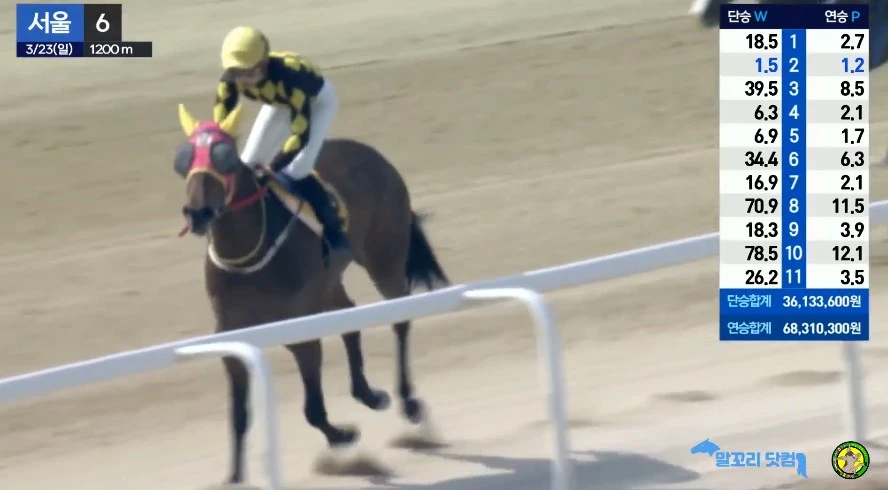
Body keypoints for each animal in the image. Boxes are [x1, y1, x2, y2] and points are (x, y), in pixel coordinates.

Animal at [172, 103, 450, 484]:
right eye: (183, 160)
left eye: (224, 157)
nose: (197, 213)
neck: (247, 255)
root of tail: (375, 156)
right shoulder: (231, 334)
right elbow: (238, 416)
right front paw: (234, 477)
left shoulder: (300, 328)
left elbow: (313, 409)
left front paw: (343, 435)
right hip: (329, 281)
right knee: (350, 318)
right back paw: (368, 394)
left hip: (385, 256)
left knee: (400, 320)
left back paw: (408, 401)